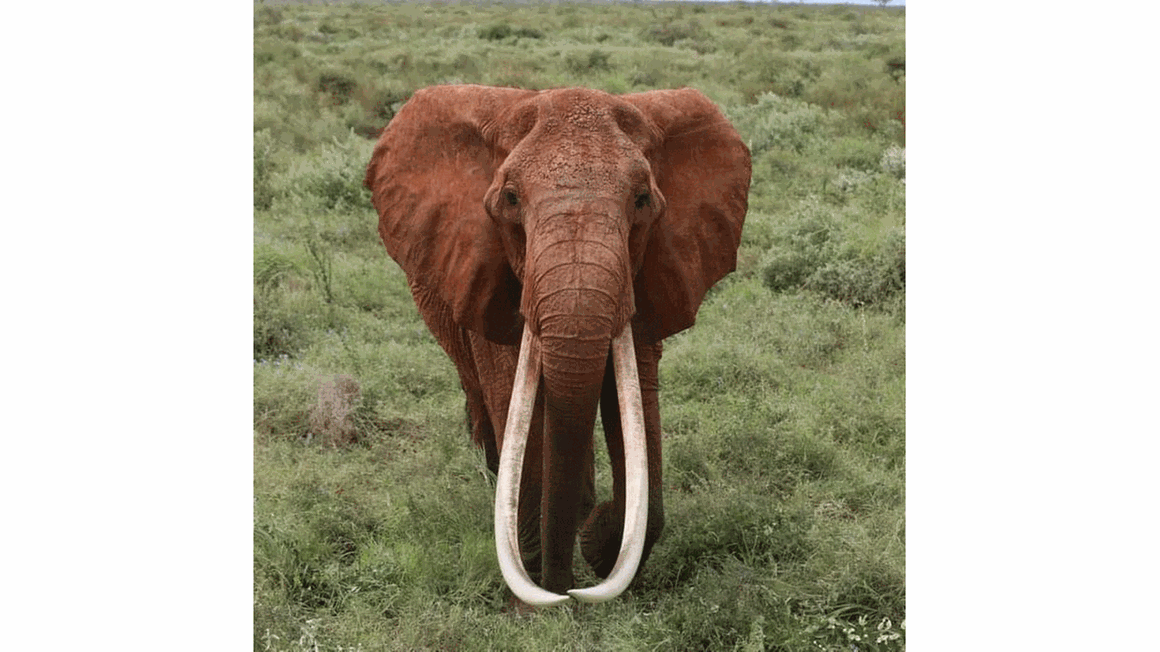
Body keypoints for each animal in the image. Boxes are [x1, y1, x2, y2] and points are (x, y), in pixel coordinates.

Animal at [361, 83, 756, 603]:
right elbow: (513, 396)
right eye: (510, 199)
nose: (565, 593)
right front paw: (537, 597)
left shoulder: (648, 270)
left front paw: (597, 541)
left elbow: (632, 402)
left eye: (642, 200)